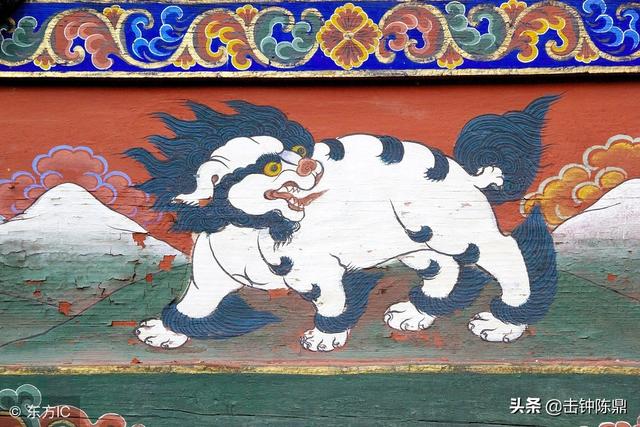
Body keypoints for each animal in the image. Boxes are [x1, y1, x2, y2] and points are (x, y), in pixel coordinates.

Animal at [128, 97, 558, 351]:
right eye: (272, 167)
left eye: (297, 150)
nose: (309, 165)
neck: (252, 226)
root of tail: (464, 172)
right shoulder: (211, 276)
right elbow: (194, 303)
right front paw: (167, 330)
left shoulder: (318, 271)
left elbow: (331, 300)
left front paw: (326, 335)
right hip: (414, 244)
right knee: (445, 268)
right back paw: (419, 312)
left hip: (451, 229)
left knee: (505, 252)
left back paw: (506, 321)